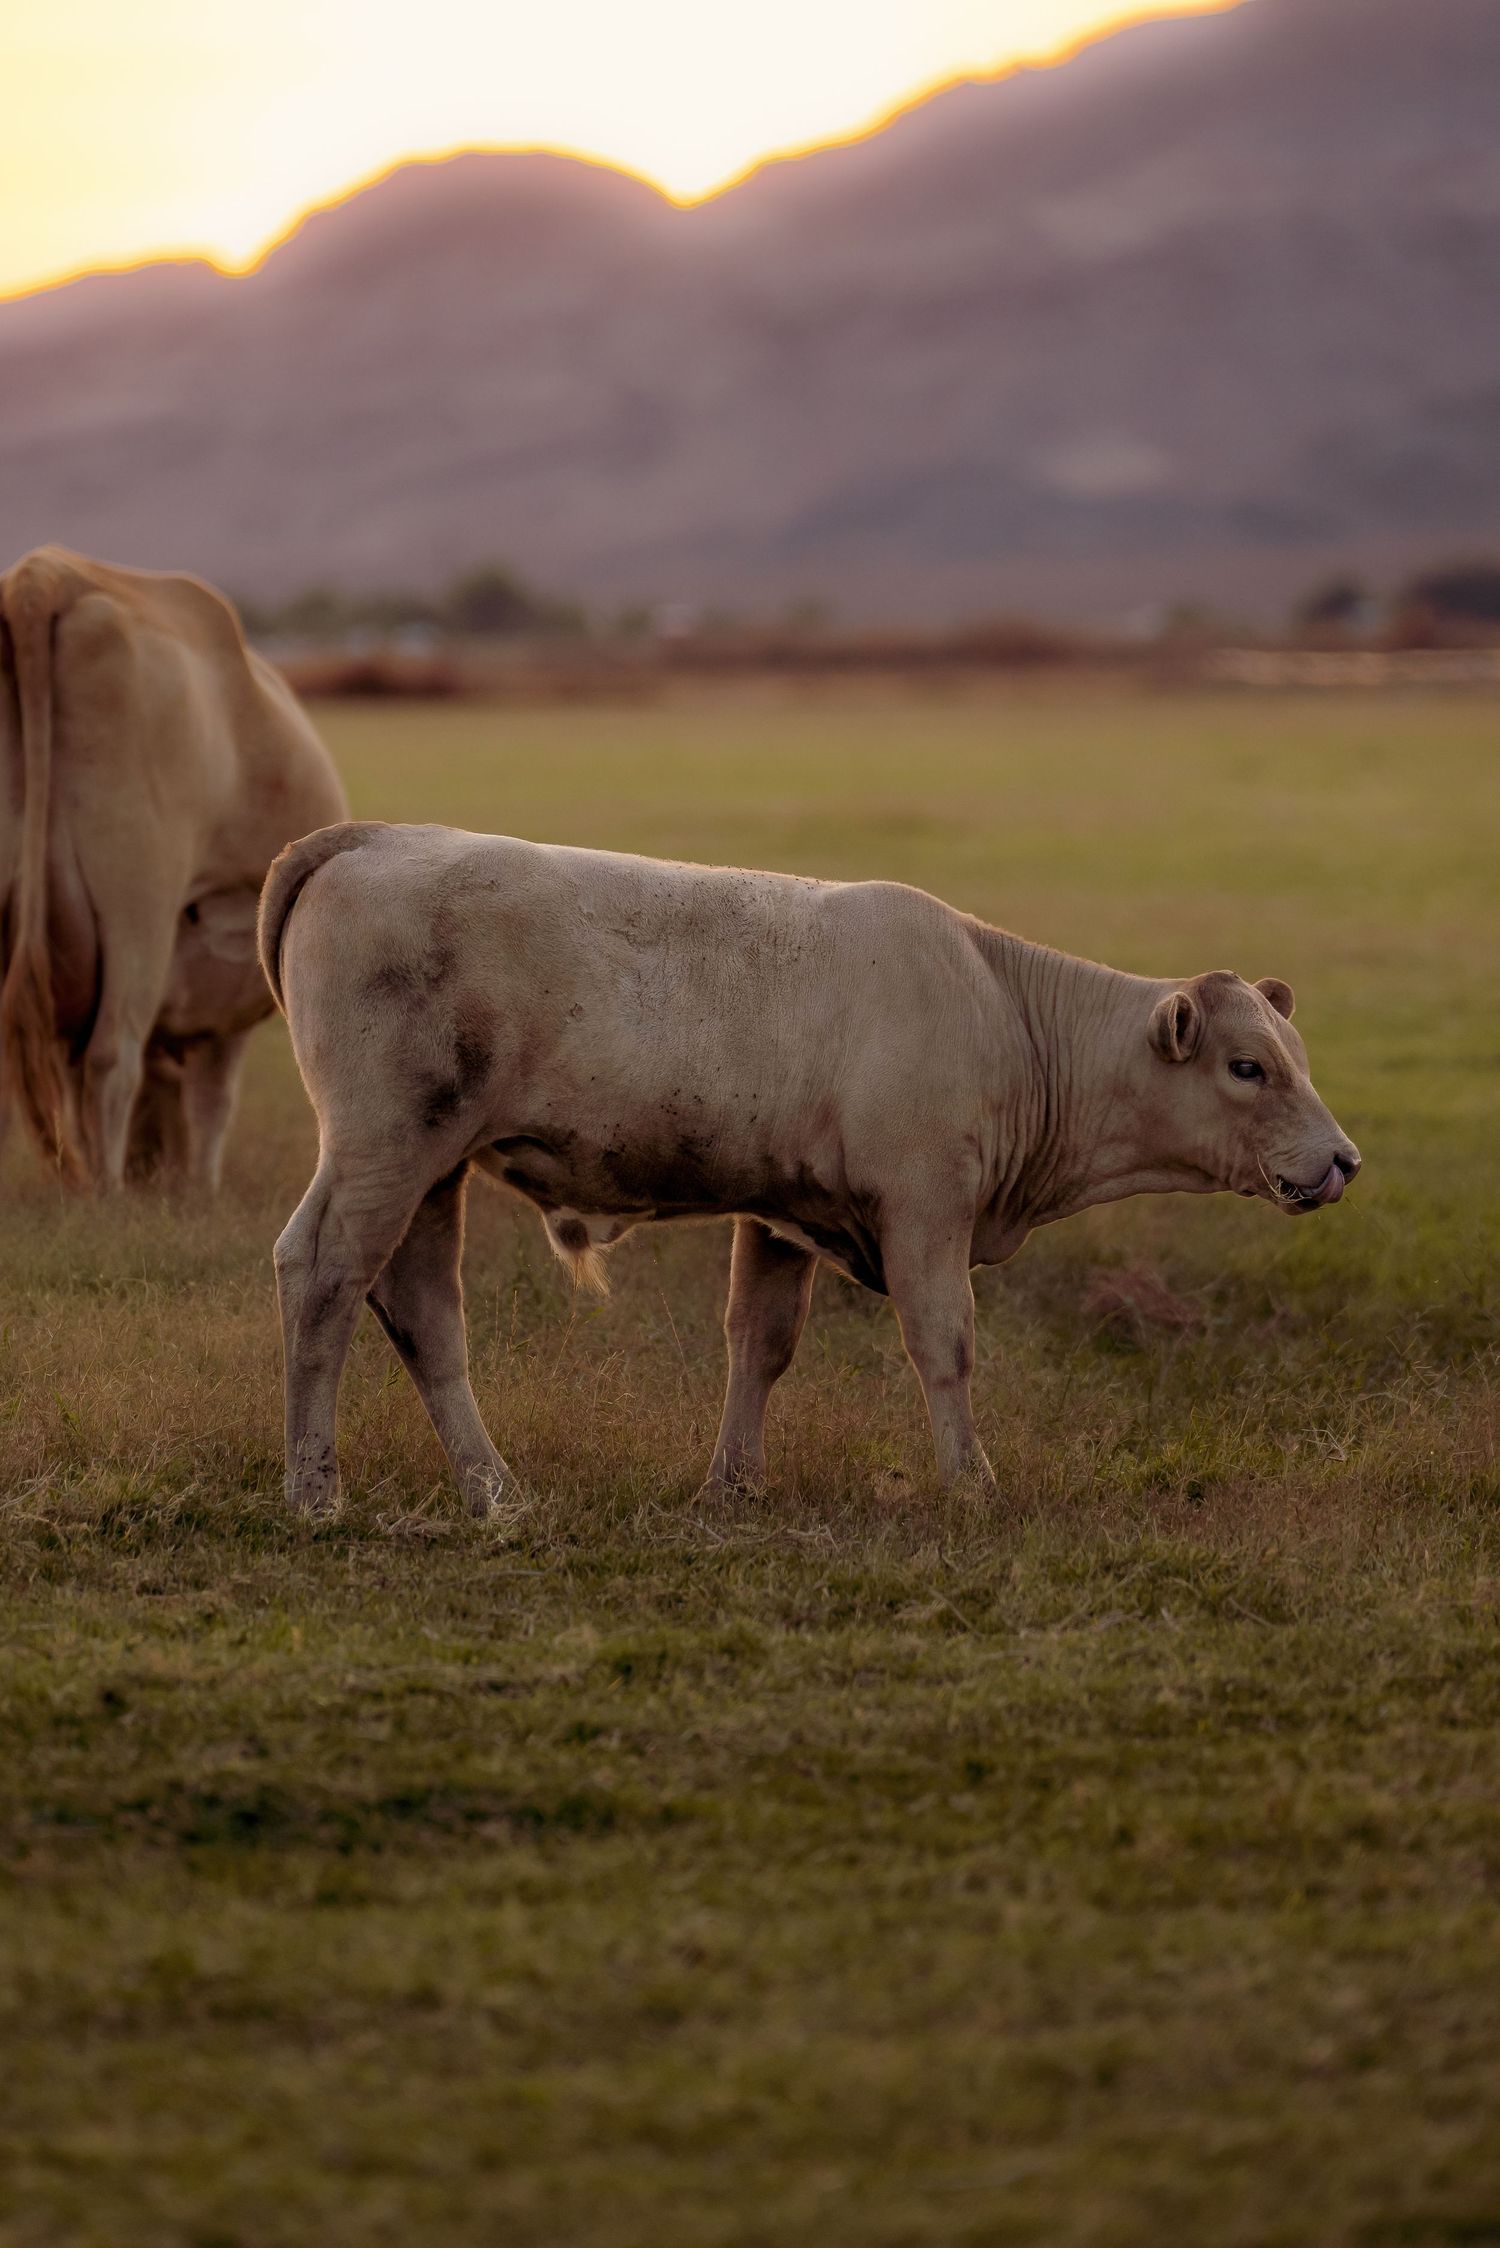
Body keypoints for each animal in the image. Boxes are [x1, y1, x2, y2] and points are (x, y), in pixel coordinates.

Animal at [0, 546, 347, 1191]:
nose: (149, 1168)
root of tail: (52, 572)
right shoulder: (229, 1017)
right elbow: (212, 1104)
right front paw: (199, 1189)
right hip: (140, 903)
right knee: (113, 1055)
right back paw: (106, 1196)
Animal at [259, 821, 1361, 1516]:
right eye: (1248, 1066)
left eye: (1299, 1057)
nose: (1344, 1160)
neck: (1001, 1009)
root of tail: (371, 836)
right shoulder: (926, 1206)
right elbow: (944, 1343)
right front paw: (973, 1485)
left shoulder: (778, 1214)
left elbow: (760, 1344)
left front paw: (732, 1486)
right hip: (385, 1144)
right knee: (323, 1275)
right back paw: (316, 1489)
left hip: (430, 1166)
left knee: (421, 1307)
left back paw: (494, 1492)